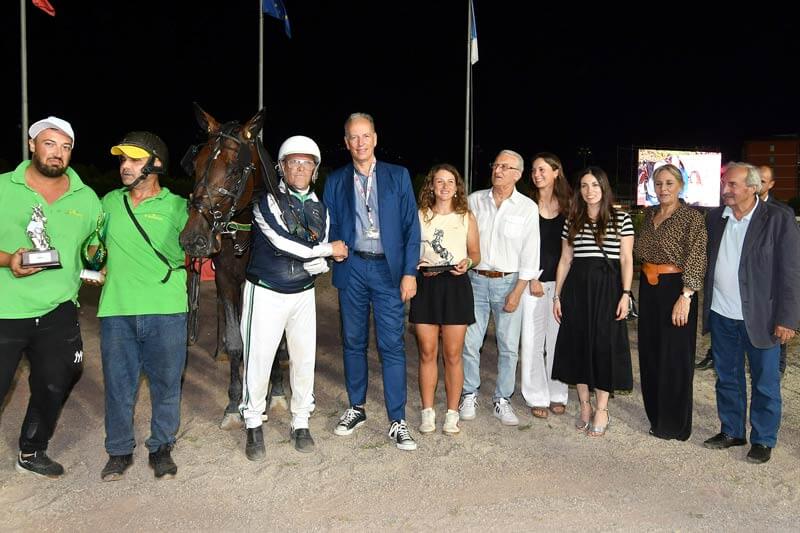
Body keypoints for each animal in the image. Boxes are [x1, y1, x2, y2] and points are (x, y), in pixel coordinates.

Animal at [179, 103, 286, 429]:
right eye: (196, 163)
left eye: (235, 169)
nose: (194, 238)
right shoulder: (227, 280)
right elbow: (237, 340)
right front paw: (232, 404)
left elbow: (274, 340)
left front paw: (277, 393)